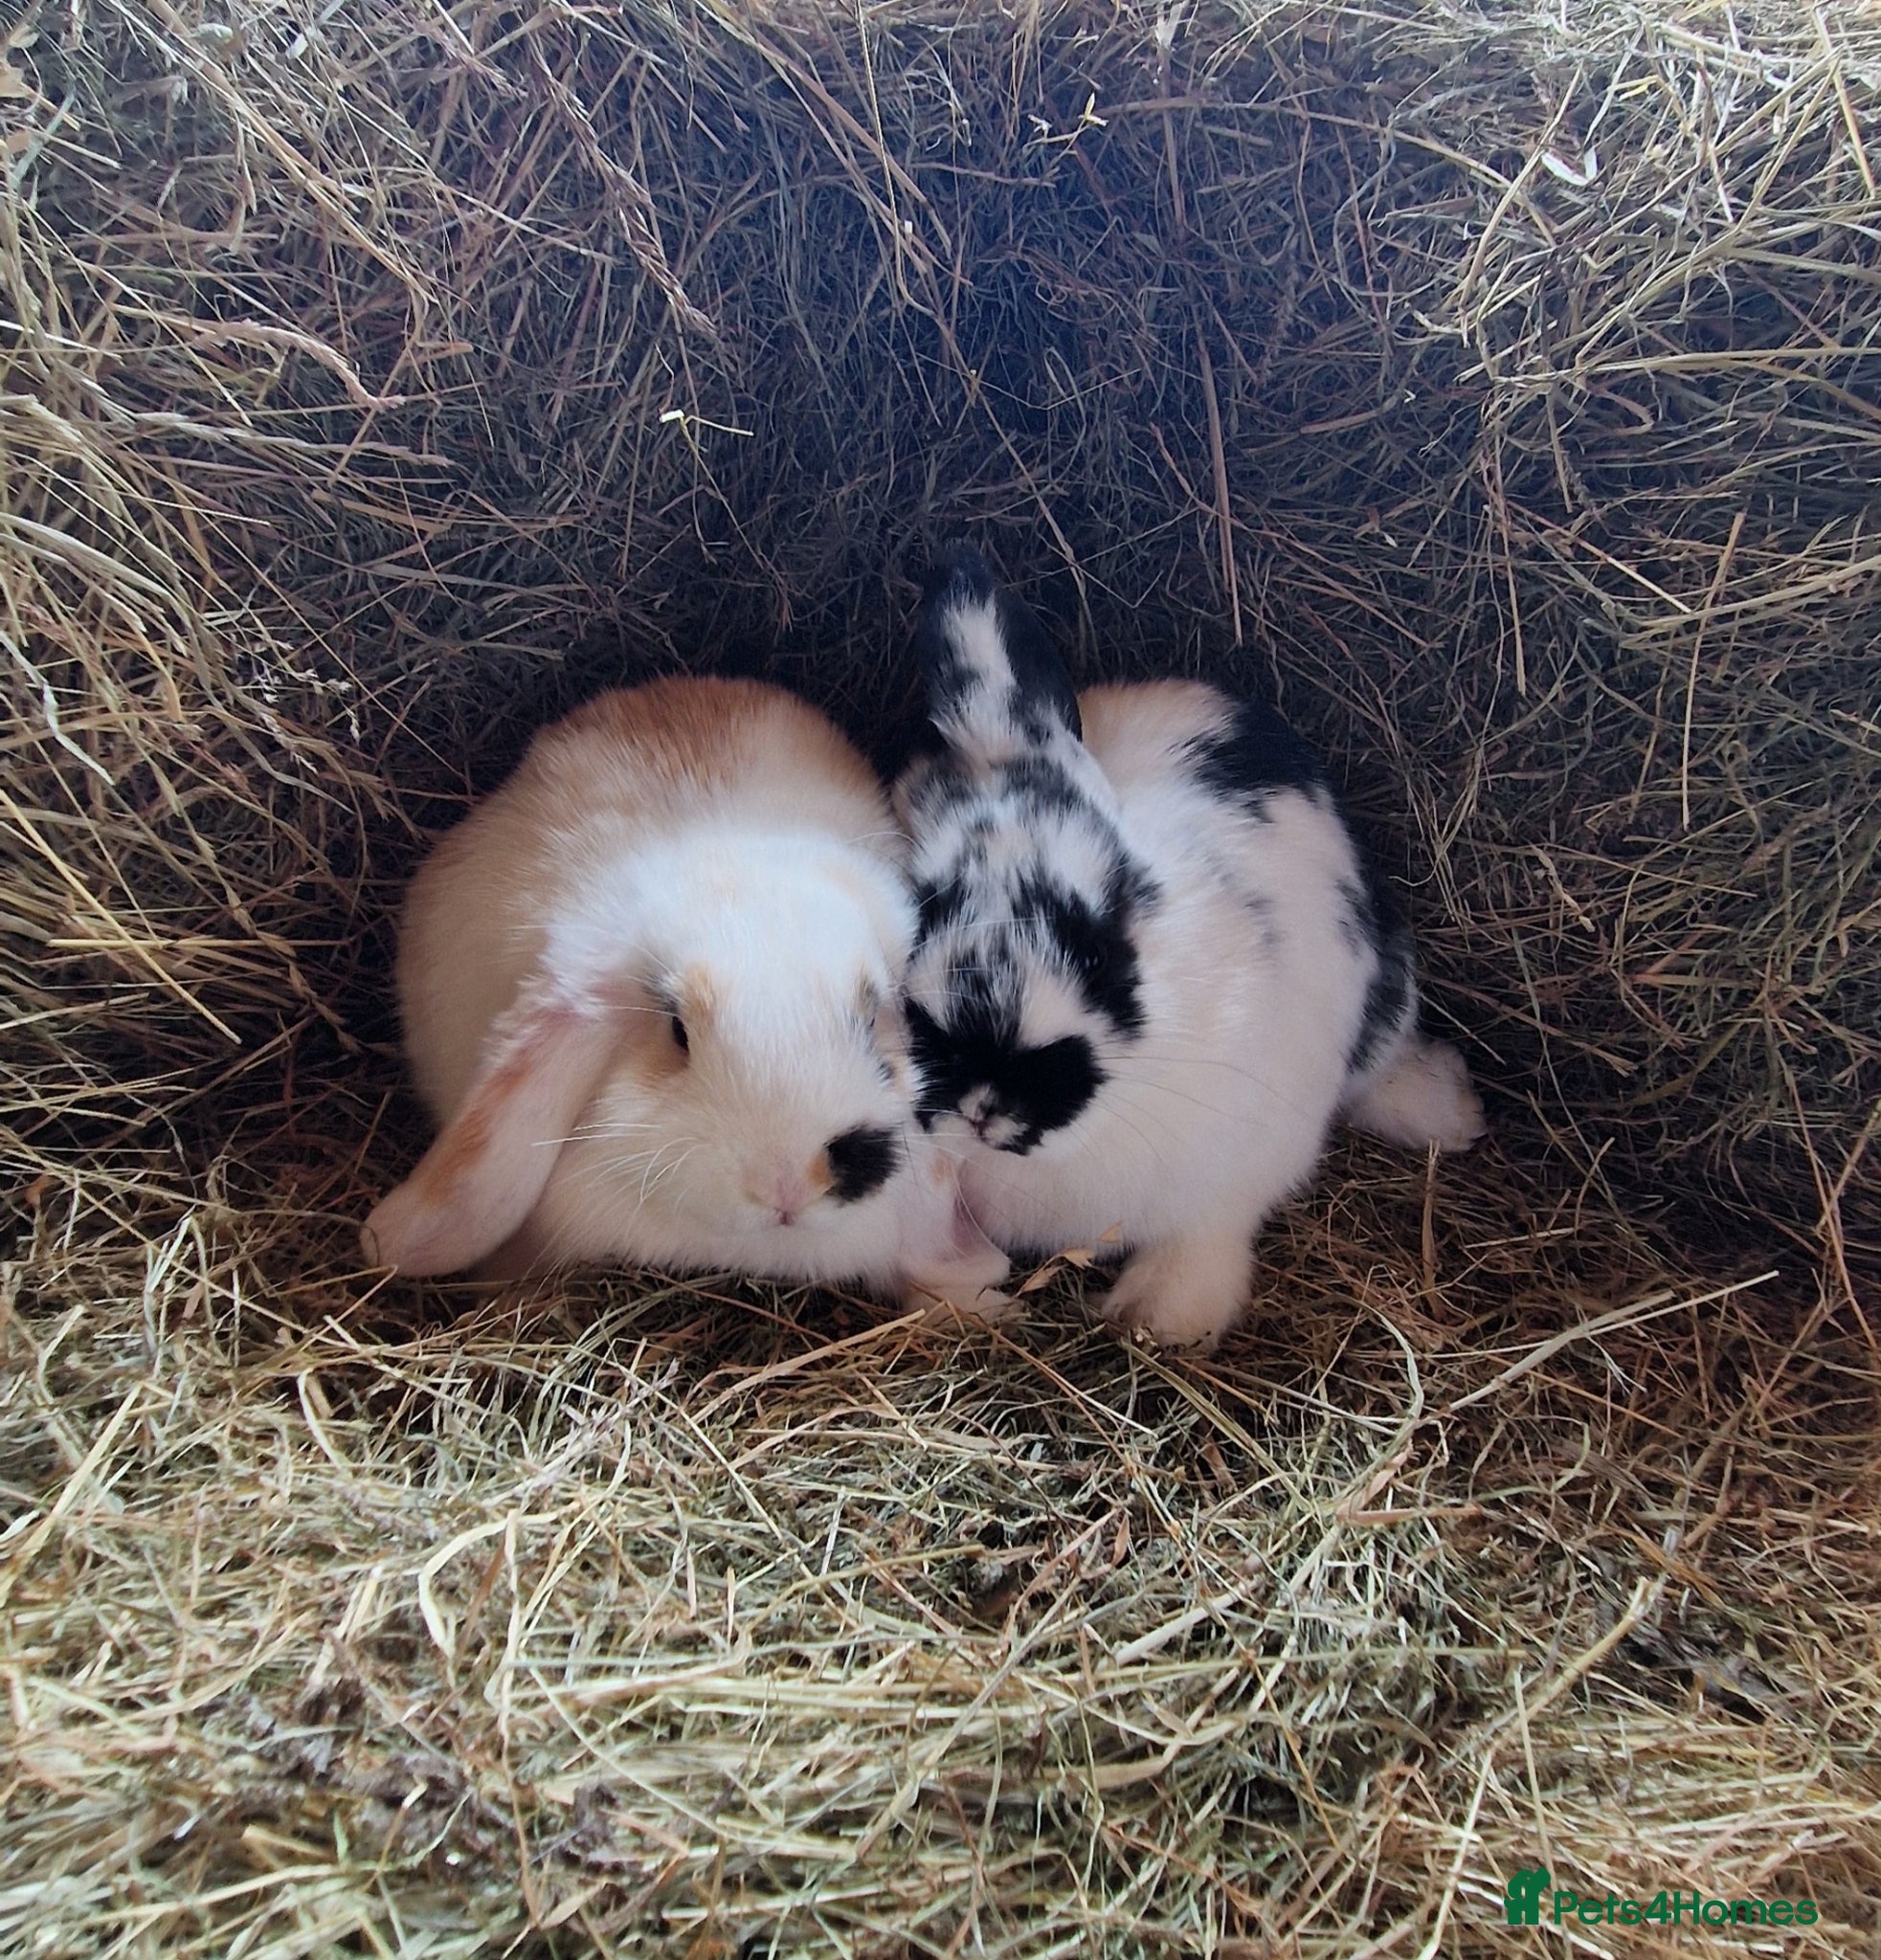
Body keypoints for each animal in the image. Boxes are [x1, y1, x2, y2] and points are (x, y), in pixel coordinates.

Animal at [892, 544, 1484, 1351]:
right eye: (921, 910)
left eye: (1100, 955)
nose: (984, 1102)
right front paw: (966, 1309)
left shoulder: (1239, 1171)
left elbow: (1202, 1242)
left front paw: (1156, 1320)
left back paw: (1454, 1111)